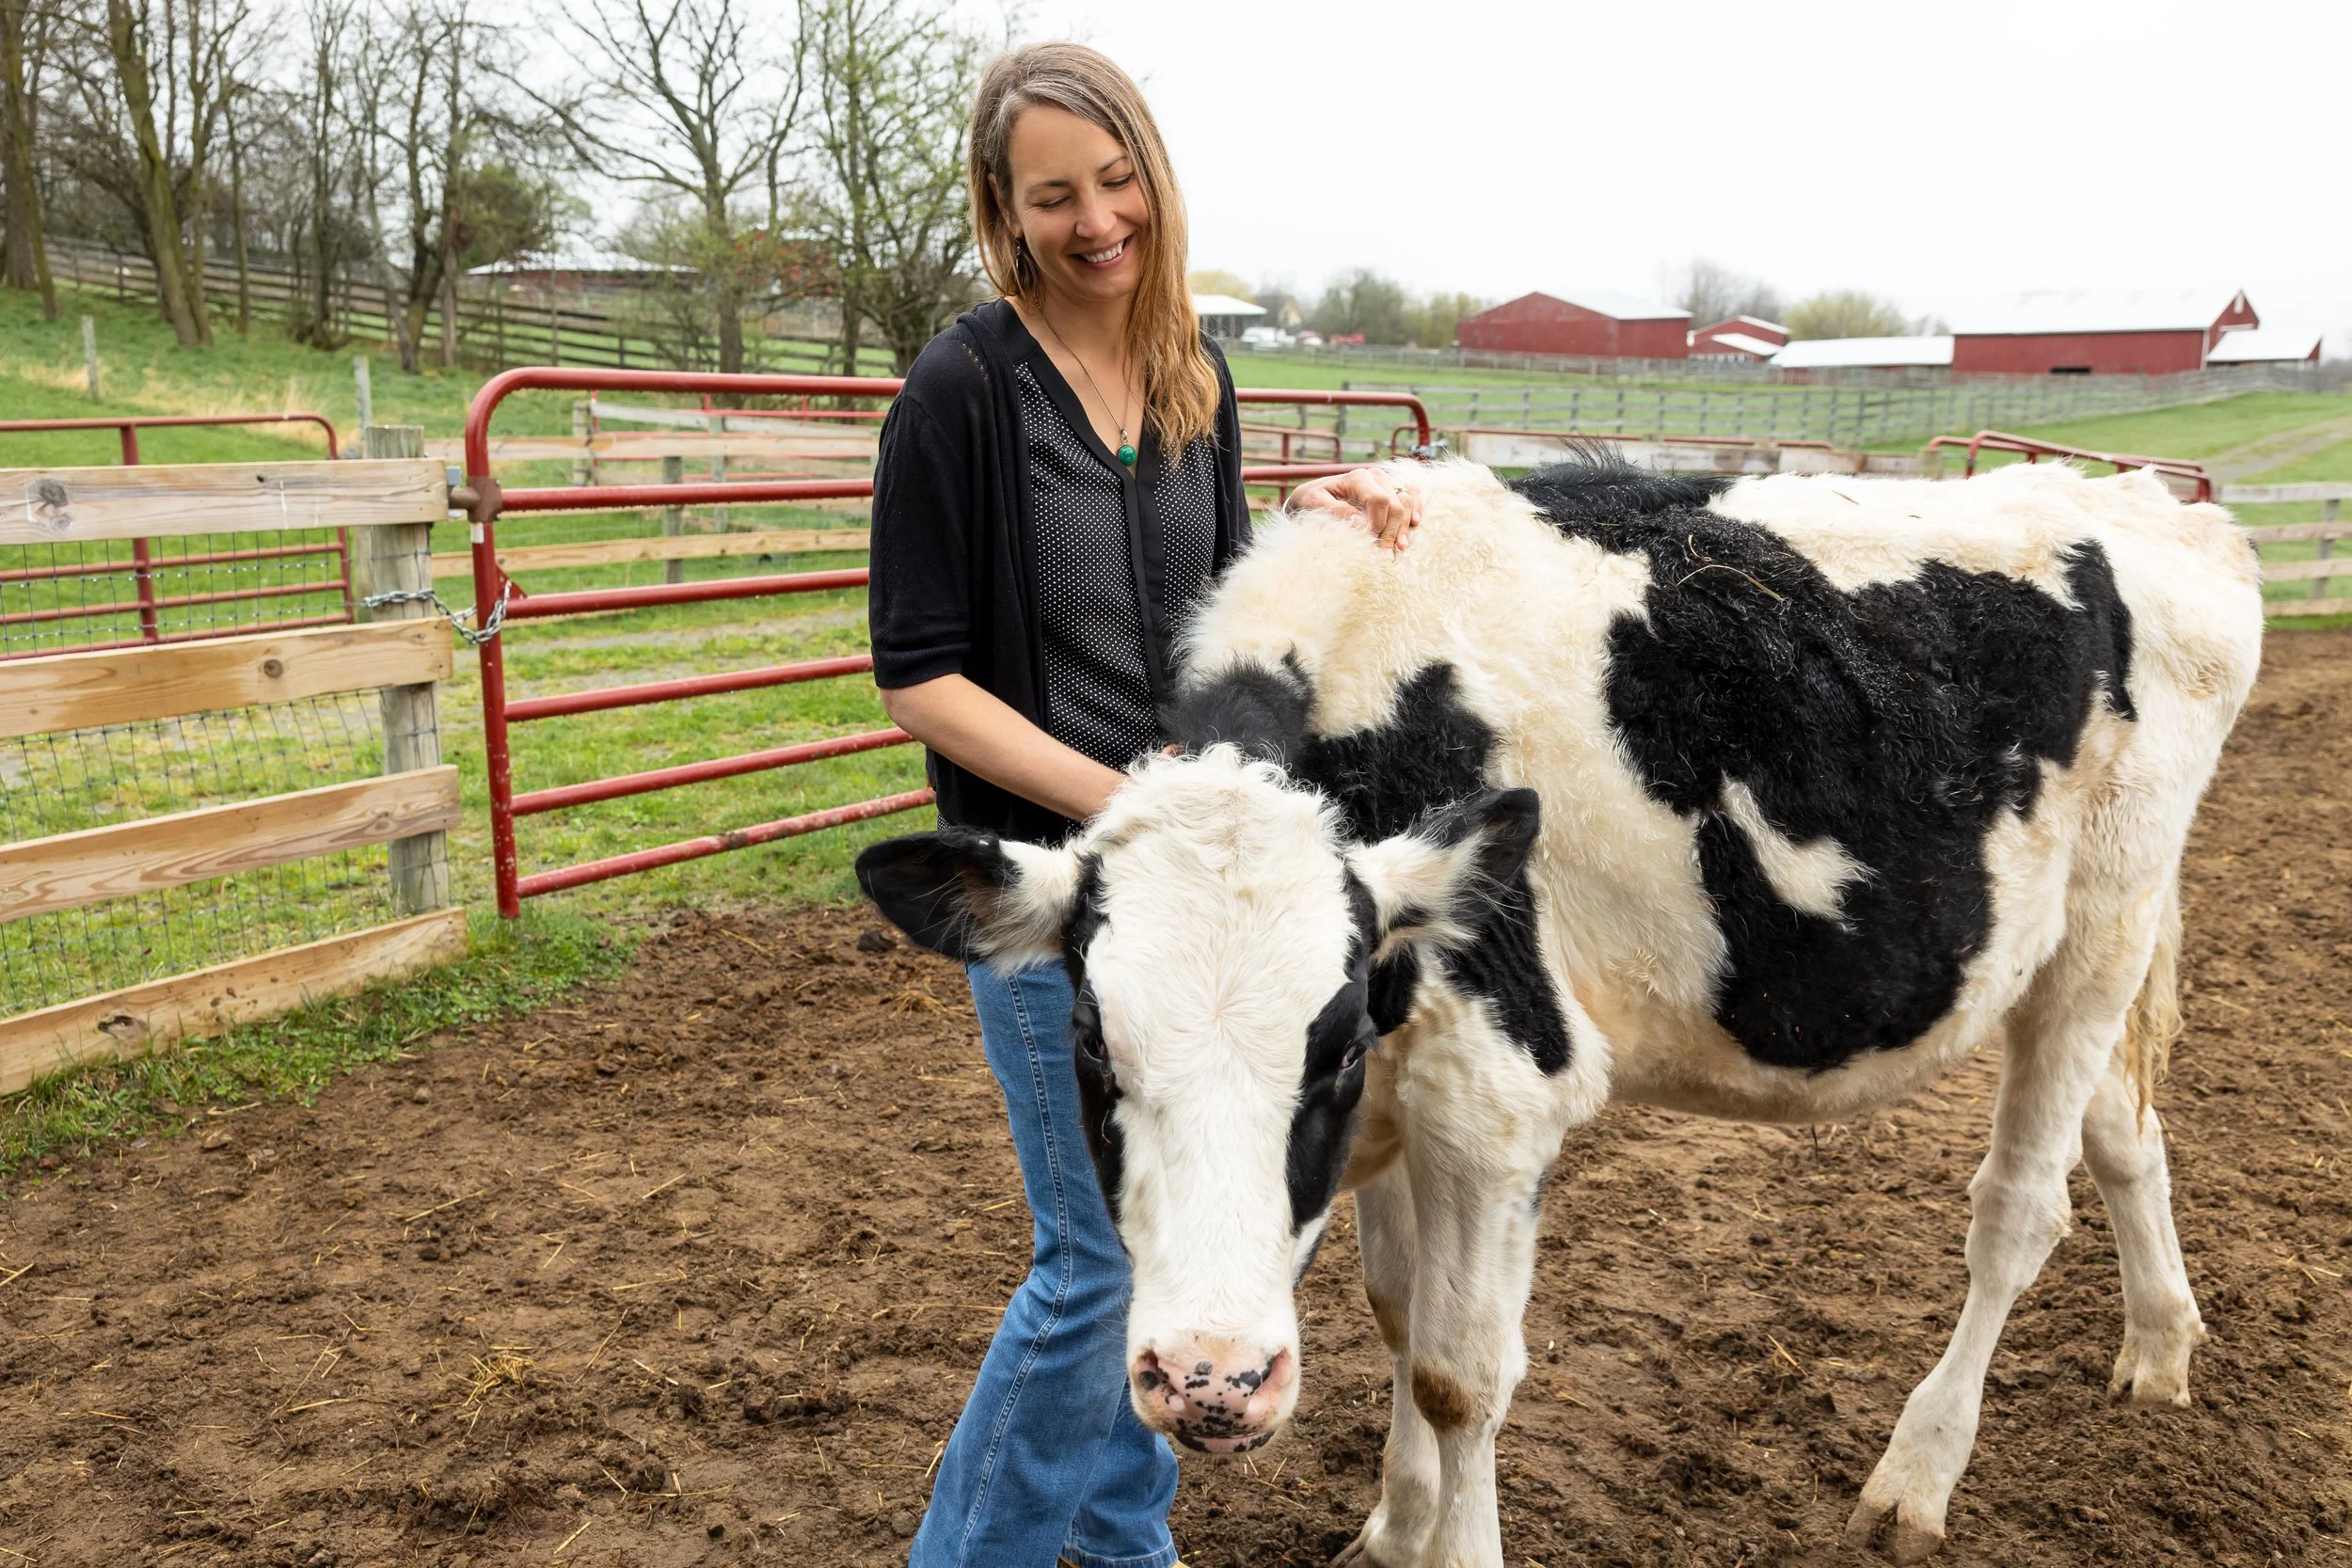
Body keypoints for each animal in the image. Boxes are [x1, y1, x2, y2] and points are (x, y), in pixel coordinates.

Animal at [856, 454, 2263, 1566]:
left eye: (1333, 1040)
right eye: (1093, 1038)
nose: (1212, 1378)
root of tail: (2162, 507)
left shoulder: (1494, 1094)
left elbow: (1458, 1369)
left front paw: (1445, 1535)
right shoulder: (1408, 1100)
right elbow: (1396, 1310)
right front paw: (1394, 1525)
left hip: (2101, 923)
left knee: (2019, 1209)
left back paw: (1917, 1473)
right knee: (2126, 1129)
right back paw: (2162, 1347)